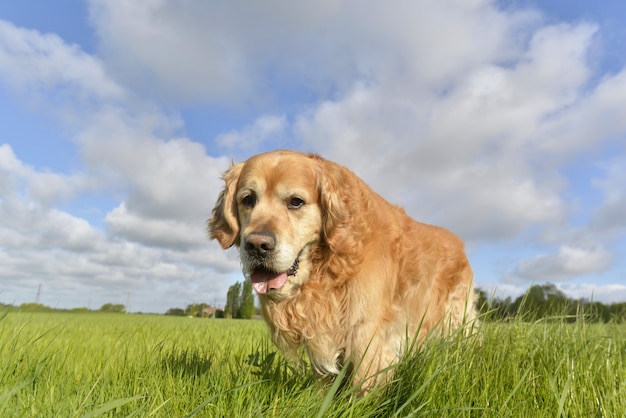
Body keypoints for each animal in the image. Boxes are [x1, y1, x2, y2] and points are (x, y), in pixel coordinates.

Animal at [207, 149, 476, 390]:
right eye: (248, 199)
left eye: (296, 202)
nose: (257, 246)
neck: (330, 267)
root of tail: (460, 244)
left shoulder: (366, 332)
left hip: (457, 322)